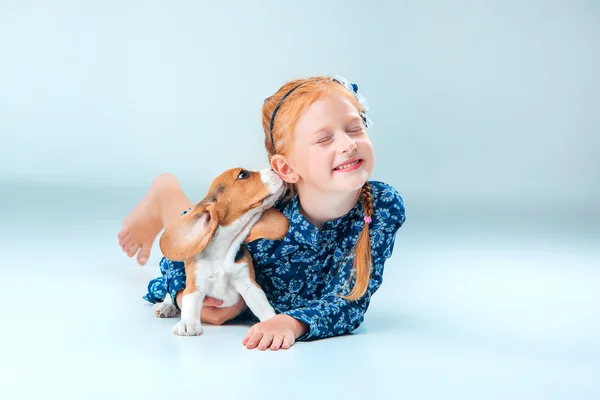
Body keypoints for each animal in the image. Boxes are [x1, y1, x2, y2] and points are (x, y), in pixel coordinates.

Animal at [152, 167, 288, 336]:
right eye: (242, 174)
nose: (274, 168)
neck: (223, 249)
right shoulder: (195, 285)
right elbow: (190, 302)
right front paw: (188, 322)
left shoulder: (248, 285)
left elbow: (263, 306)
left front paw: (274, 323)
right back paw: (165, 306)